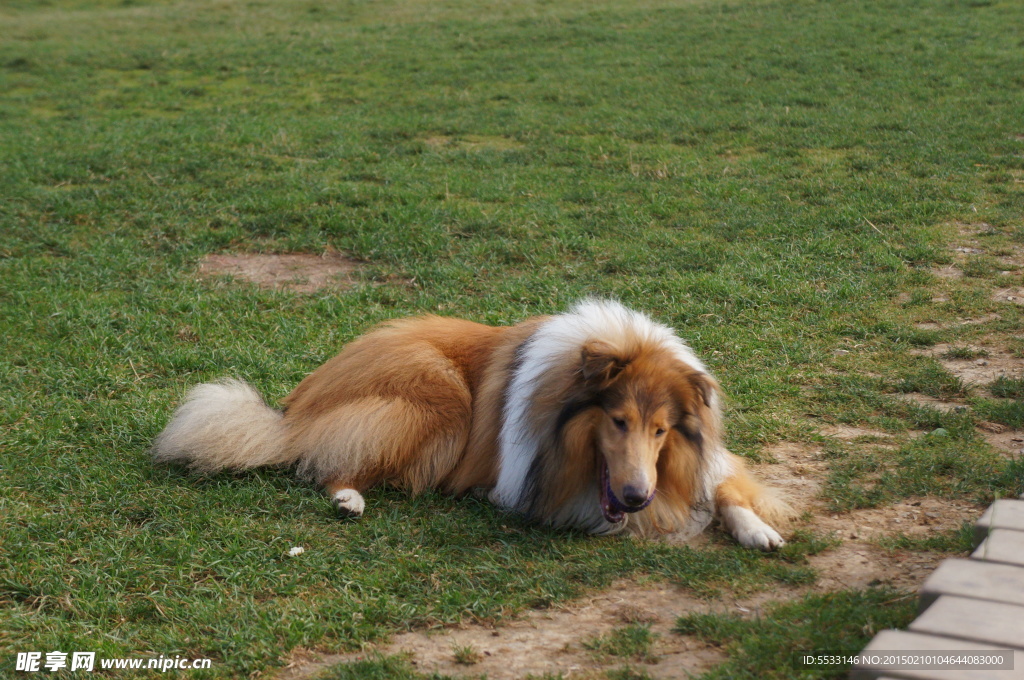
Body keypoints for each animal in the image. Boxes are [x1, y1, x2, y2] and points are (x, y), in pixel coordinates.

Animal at [153, 301, 790, 548]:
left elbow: (725, 488)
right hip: (435, 400)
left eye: (661, 430)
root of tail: (296, 406)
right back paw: (350, 499)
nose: (636, 496)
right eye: (617, 420)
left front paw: (758, 529)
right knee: (331, 464)